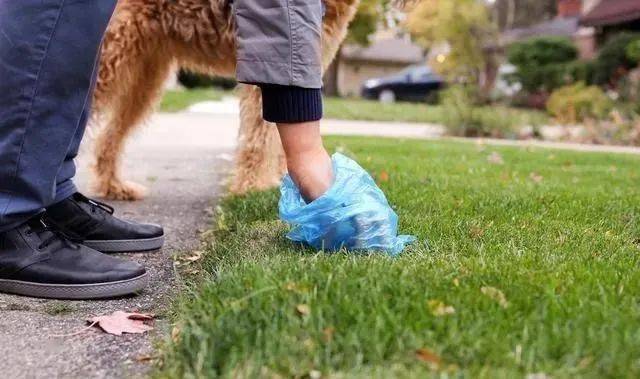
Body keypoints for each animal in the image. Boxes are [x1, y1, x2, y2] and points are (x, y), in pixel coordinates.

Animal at [90, 0, 360, 202]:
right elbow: (260, 138)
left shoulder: (299, 70)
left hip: (144, 75)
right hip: (111, 56)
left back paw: (115, 187)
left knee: (109, 136)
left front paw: (282, 184)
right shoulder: (269, 64)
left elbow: (279, 138)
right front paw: (253, 188)